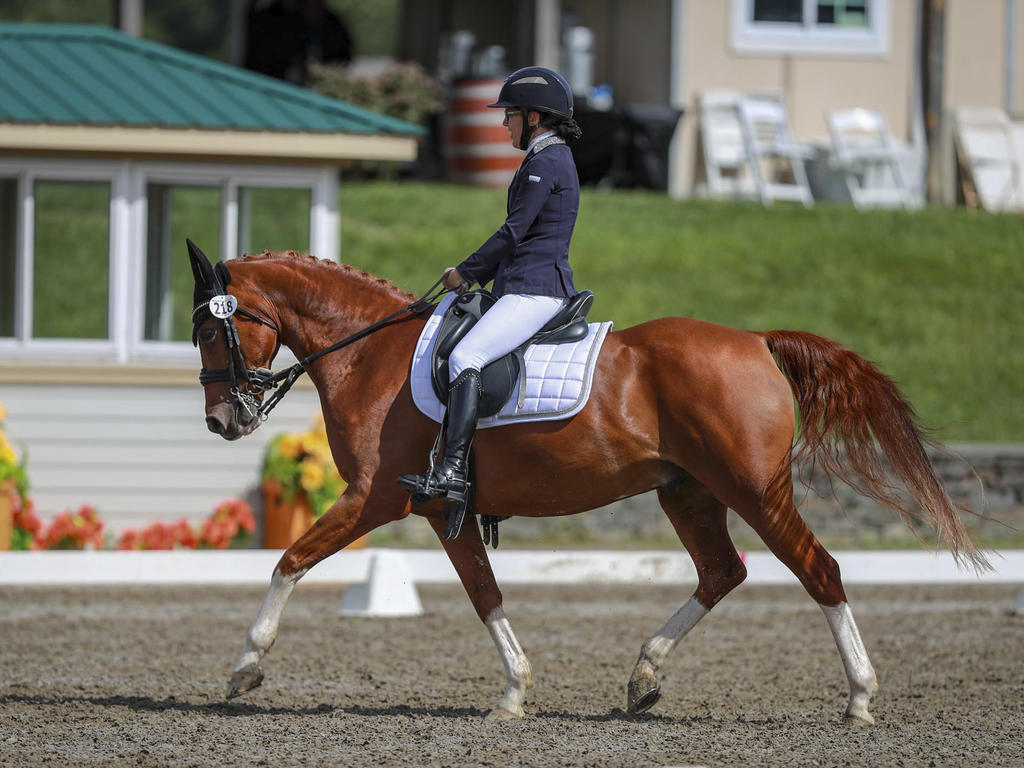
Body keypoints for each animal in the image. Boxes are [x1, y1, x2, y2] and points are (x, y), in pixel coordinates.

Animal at [186, 243, 983, 724]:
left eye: (210, 331)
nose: (223, 420)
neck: (370, 354)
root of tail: (756, 341)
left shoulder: (375, 497)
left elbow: (290, 561)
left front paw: (244, 669)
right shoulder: (442, 509)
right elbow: (484, 594)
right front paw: (514, 692)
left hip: (755, 491)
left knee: (820, 571)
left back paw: (859, 700)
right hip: (686, 490)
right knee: (722, 571)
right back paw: (644, 676)